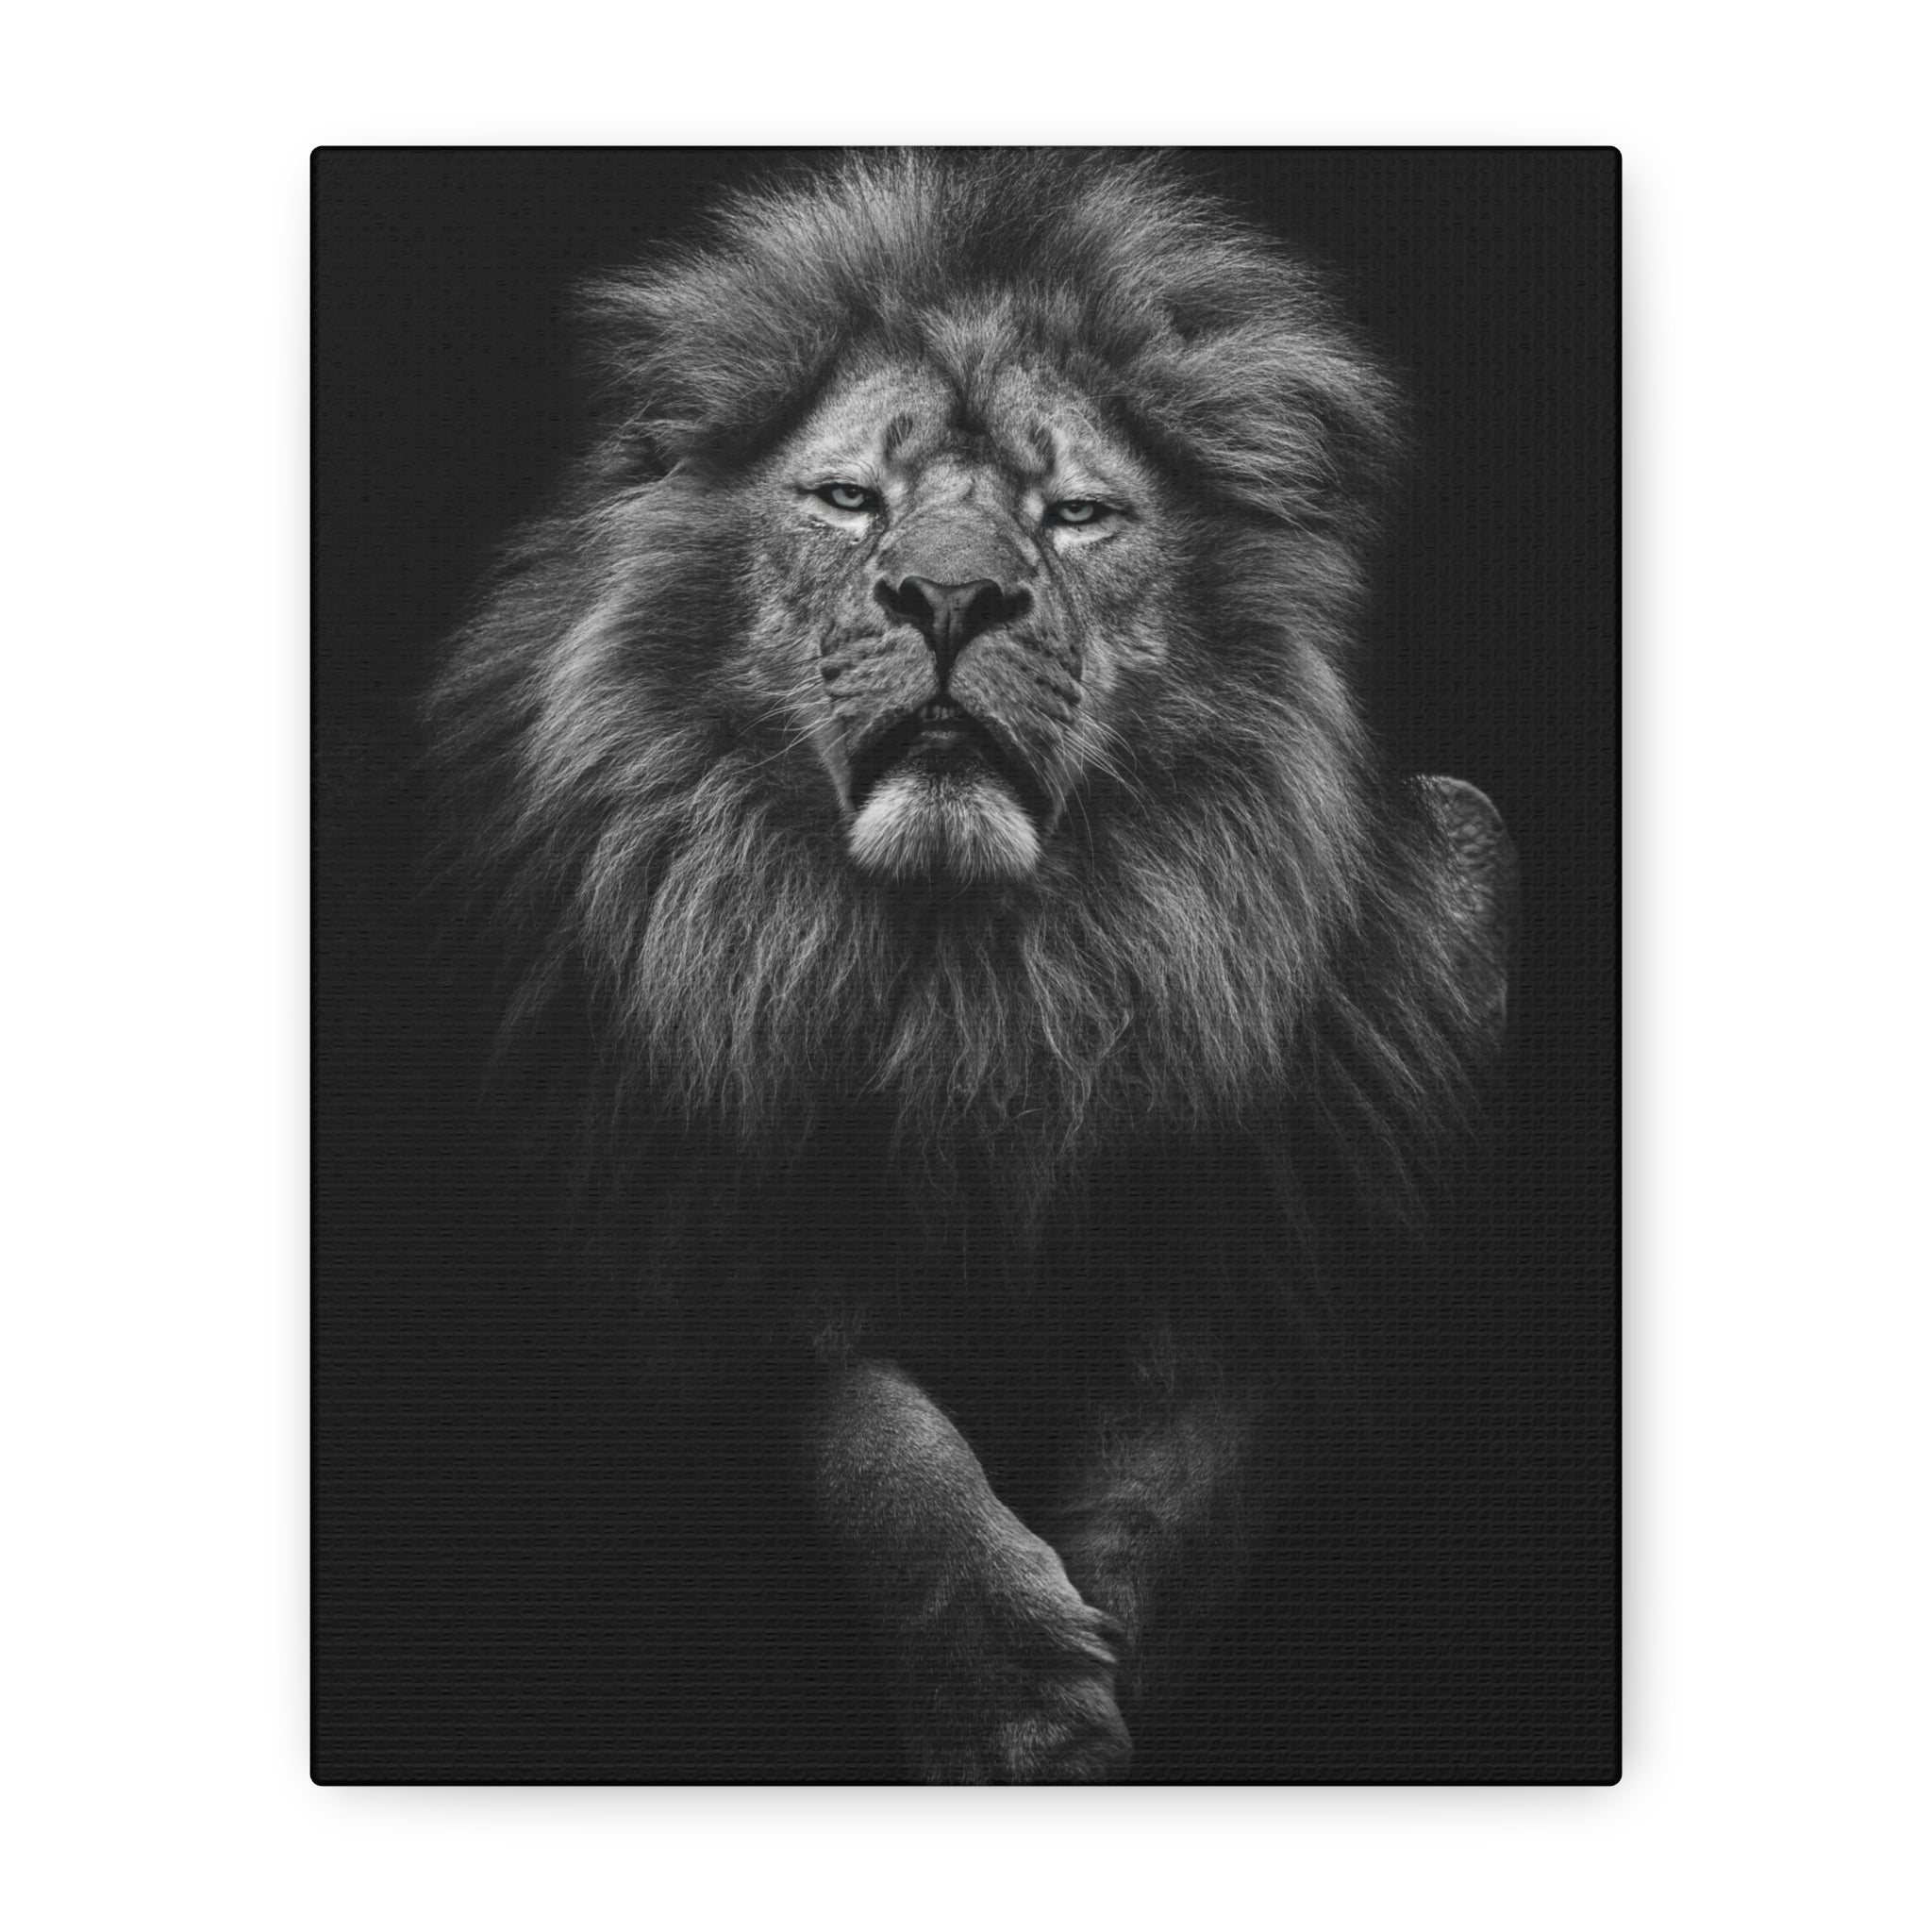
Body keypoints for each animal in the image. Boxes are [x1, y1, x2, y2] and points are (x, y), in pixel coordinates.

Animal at [426, 149, 1515, 1783]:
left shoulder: (1303, 1220)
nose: (948, 599)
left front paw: (1113, 1648)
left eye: (1077, 514)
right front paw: (1008, 1689)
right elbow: (871, 1430)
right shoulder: (685, 1240)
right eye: (846, 499)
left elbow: (1205, 1453)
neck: (973, 983)